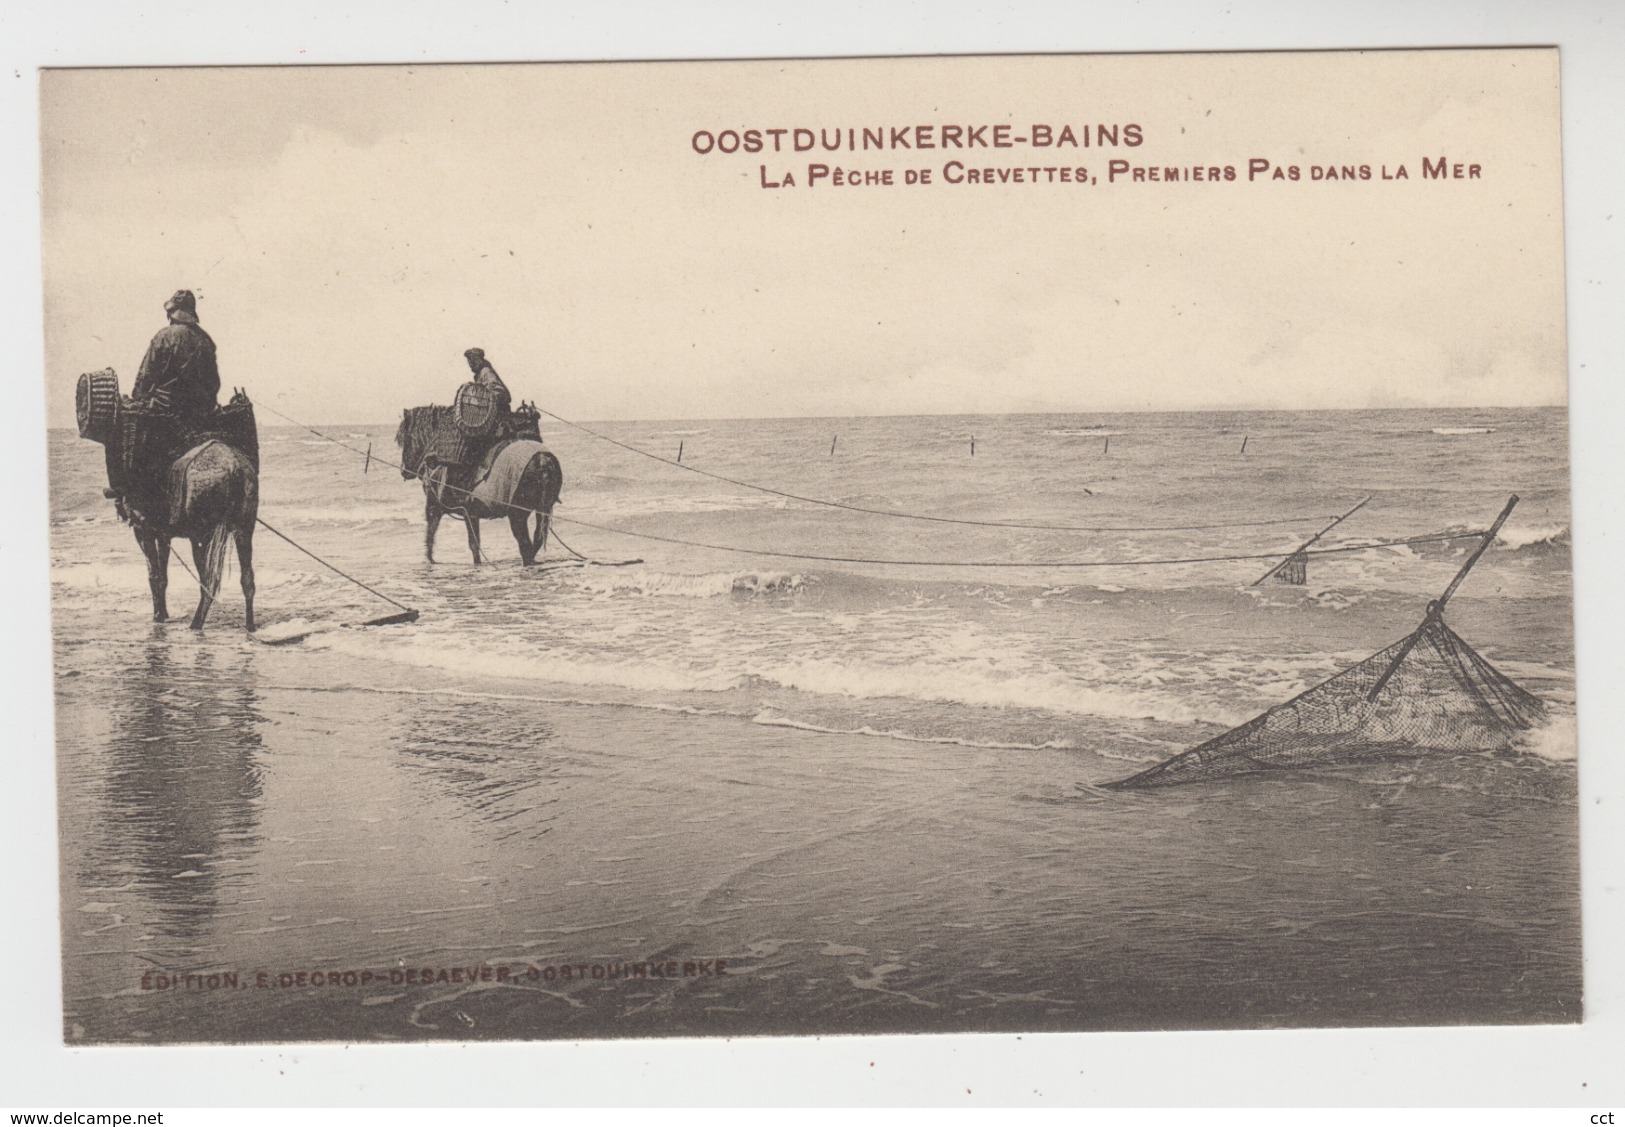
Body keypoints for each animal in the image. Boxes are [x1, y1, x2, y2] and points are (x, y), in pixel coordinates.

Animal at [122, 444, 260, 636]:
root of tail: (235, 467)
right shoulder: (163, 534)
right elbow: (162, 576)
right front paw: (163, 614)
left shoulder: (143, 529)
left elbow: (154, 575)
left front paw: (158, 616)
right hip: (244, 528)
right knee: (246, 578)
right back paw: (250, 626)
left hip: (202, 535)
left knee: (208, 581)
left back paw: (196, 624)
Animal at [396, 407, 562, 568]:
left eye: (405, 440)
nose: (403, 470)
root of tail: (542, 460)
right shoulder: (468, 513)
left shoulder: (442, 508)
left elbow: (450, 542)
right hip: (542, 510)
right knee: (537, 539)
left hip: (517, 514)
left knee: (525, 545)